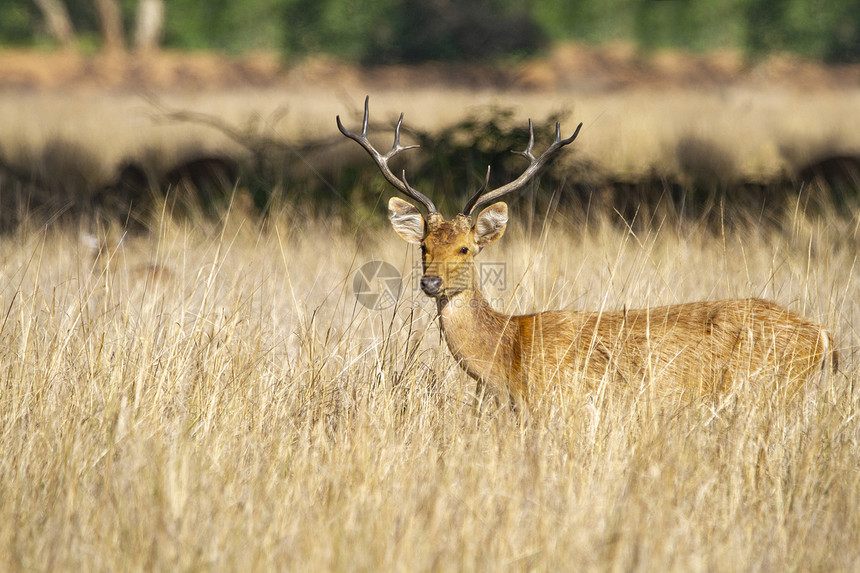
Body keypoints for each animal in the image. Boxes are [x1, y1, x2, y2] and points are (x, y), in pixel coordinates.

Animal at [338, 99, 840, 412]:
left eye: (466, 247)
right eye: (424, 247)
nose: (431, 283)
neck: (507, 356)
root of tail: (825, 338)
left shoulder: (562, 403)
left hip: (763, 388)